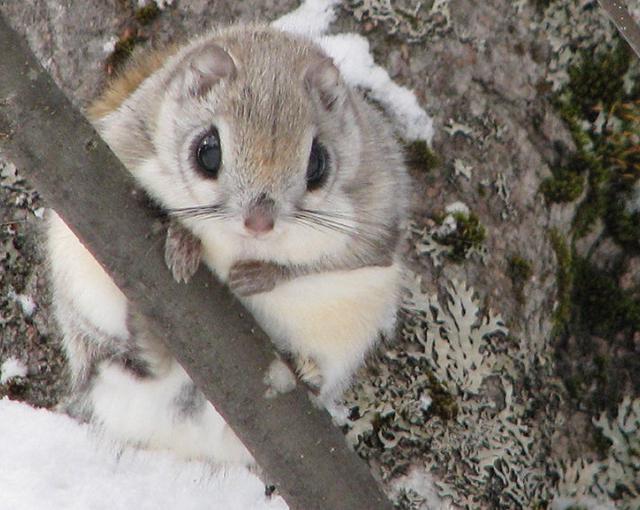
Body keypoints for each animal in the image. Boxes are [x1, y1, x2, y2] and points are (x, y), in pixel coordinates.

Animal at [48, 23, 410, 466]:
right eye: (208, 152)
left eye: (318, 164)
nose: (259, 223)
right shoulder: (120, 147)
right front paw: (183, 239)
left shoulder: (376, 228)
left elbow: (333, 263)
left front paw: (261, 275)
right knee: (126, 362)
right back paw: (147, 335)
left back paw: (303, 373)